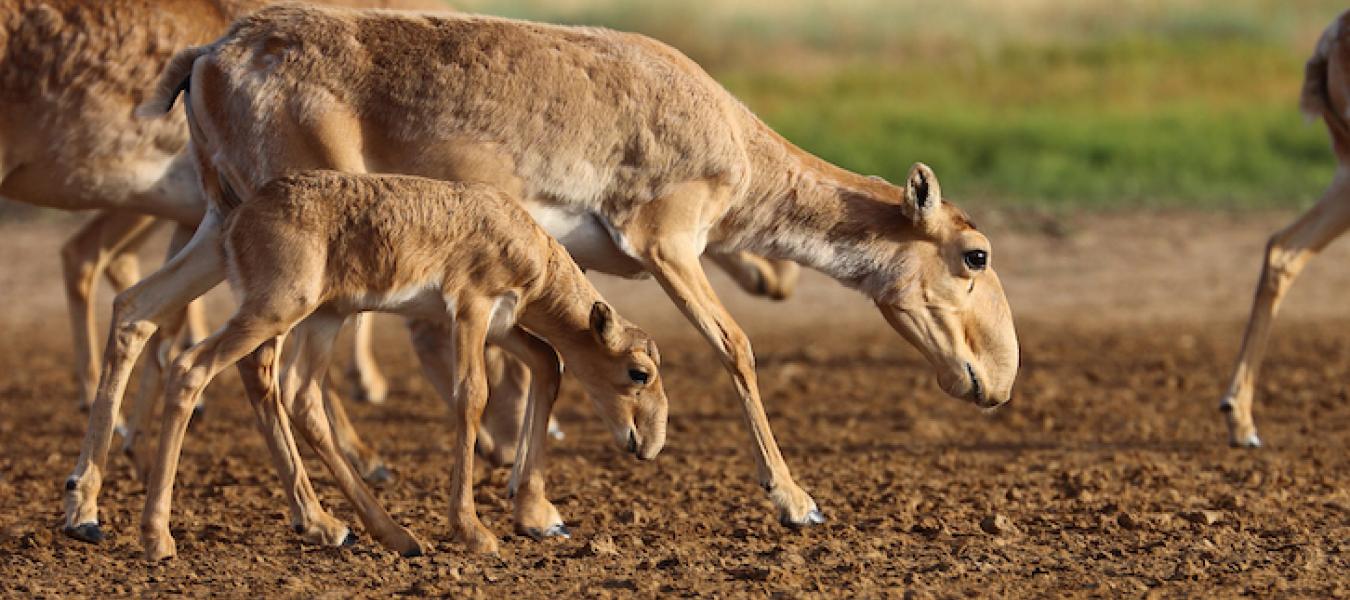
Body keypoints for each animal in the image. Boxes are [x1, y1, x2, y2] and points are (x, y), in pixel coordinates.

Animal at [60, 2, 1015, 543]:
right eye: (975, 255)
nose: (999, 383)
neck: (739, 150)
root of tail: (208, 57)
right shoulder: (669, 243)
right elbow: (737, 348)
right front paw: (795, 499)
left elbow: (546, 367)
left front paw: (536, 510)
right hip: (291, 268)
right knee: (256, 368)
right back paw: (318, 522)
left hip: (218, 222)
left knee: (136, 308)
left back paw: (87, 506)